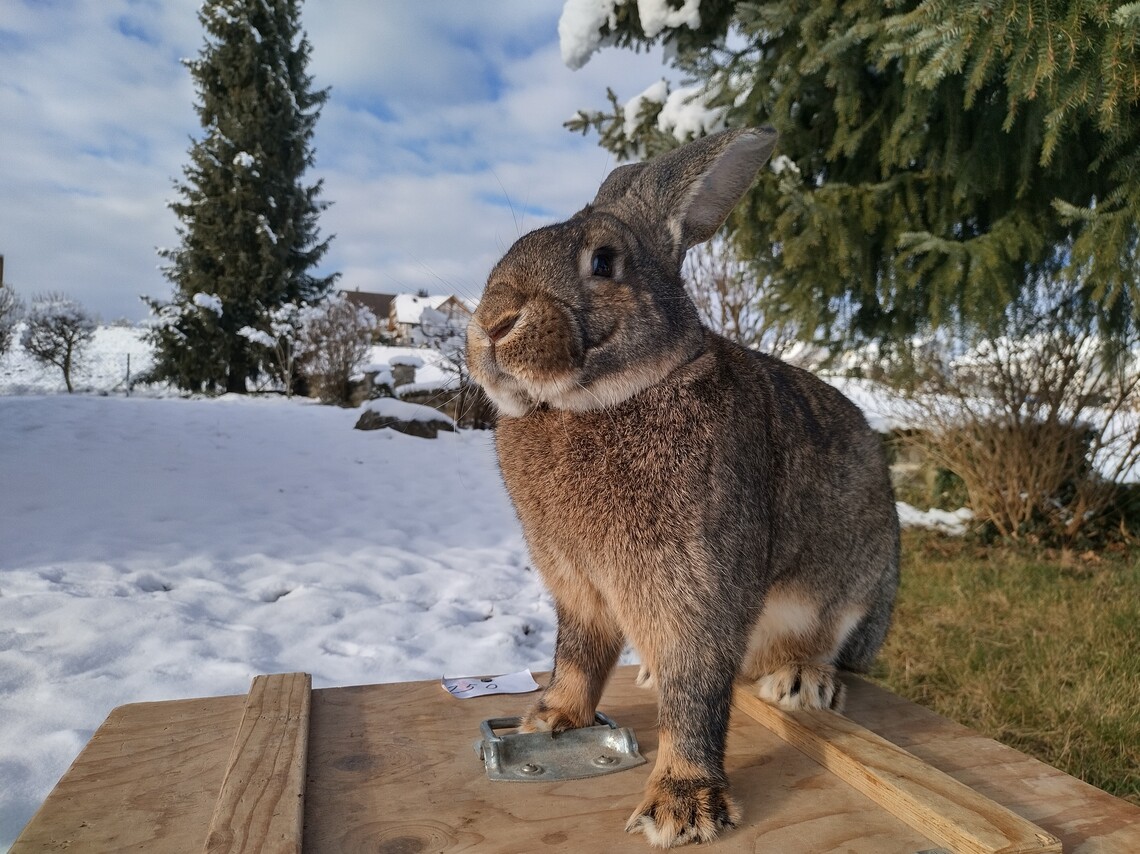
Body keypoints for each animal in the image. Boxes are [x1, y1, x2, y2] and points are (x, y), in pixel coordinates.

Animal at [462, 126, 898, 848]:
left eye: (603, 262)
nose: (494, 322)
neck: (593, 402)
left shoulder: (696, 585)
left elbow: (694, 692)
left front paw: (682, 806)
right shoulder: (578, 586)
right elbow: (577, 656)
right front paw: (549, 719)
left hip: (860, 589)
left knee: (829, 647)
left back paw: (800, 681)